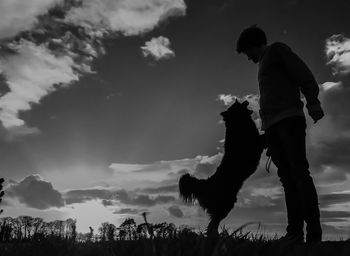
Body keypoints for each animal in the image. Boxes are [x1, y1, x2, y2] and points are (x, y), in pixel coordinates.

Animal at [180, 99, 266, 236]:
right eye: (237, 104)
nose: (246, 100)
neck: (238, 125)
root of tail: (207, 184)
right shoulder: (256, 143)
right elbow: (264, 137)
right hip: (225, 205)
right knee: (212, 224)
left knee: (212, 224)